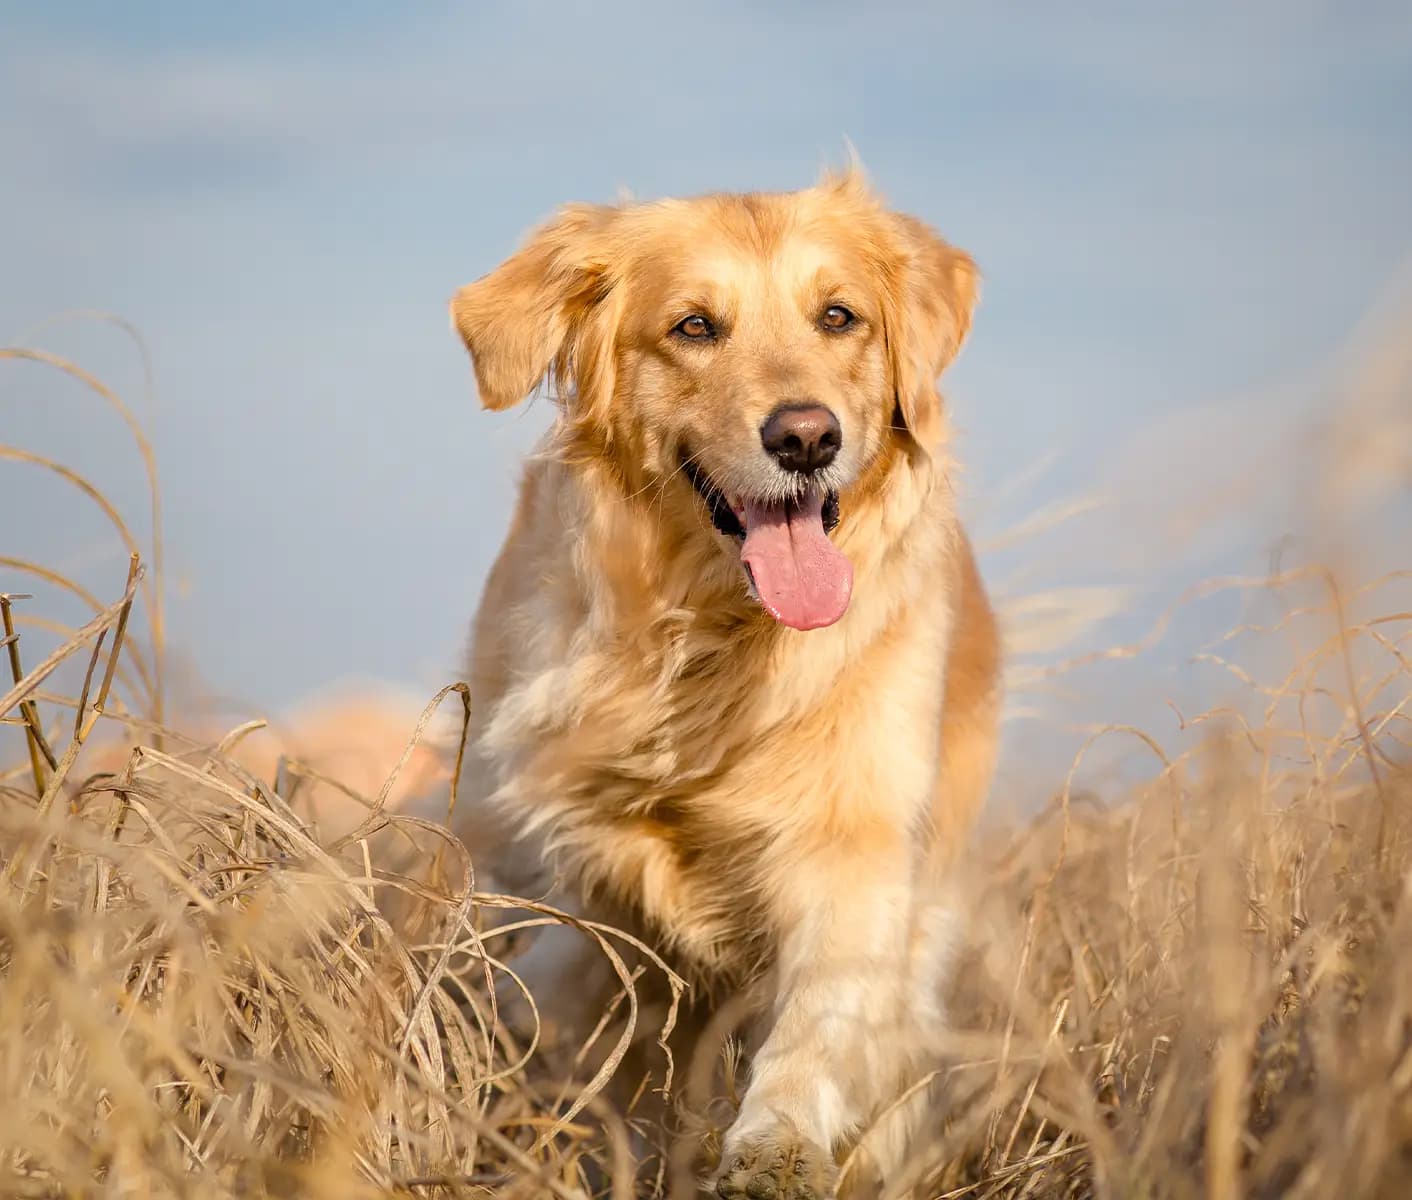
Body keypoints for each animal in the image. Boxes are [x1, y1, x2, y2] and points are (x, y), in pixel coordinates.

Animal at [446, 170, 999, 1197]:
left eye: (839, 316)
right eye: (695, 326)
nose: (806, 437)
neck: (718, 638)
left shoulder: (858, 840)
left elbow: (821, 1018)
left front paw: (776, 1144)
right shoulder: (584, 863)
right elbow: (584, 1017)